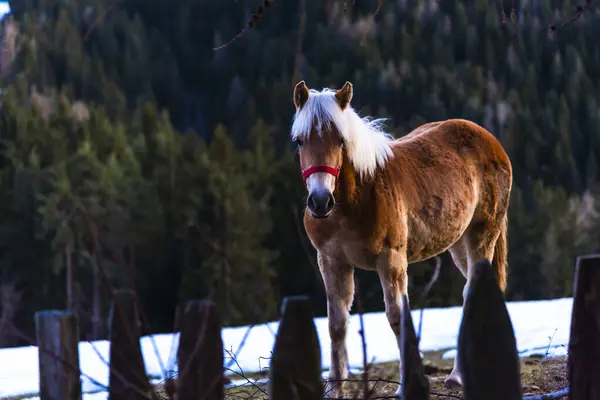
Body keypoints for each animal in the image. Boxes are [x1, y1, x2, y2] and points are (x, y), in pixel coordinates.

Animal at [290, 79, 510, 396]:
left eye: (341, 141)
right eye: (299, 141)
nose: (320, 202)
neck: (354, 200)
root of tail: (490, 140)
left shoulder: (391, 259)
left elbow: (397, 319)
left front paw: (408, 385)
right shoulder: (331, 261)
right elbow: (336, 324)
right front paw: (334, 389)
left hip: (483, 235)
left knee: (472, 292)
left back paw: (459, 375)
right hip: (458, 243)